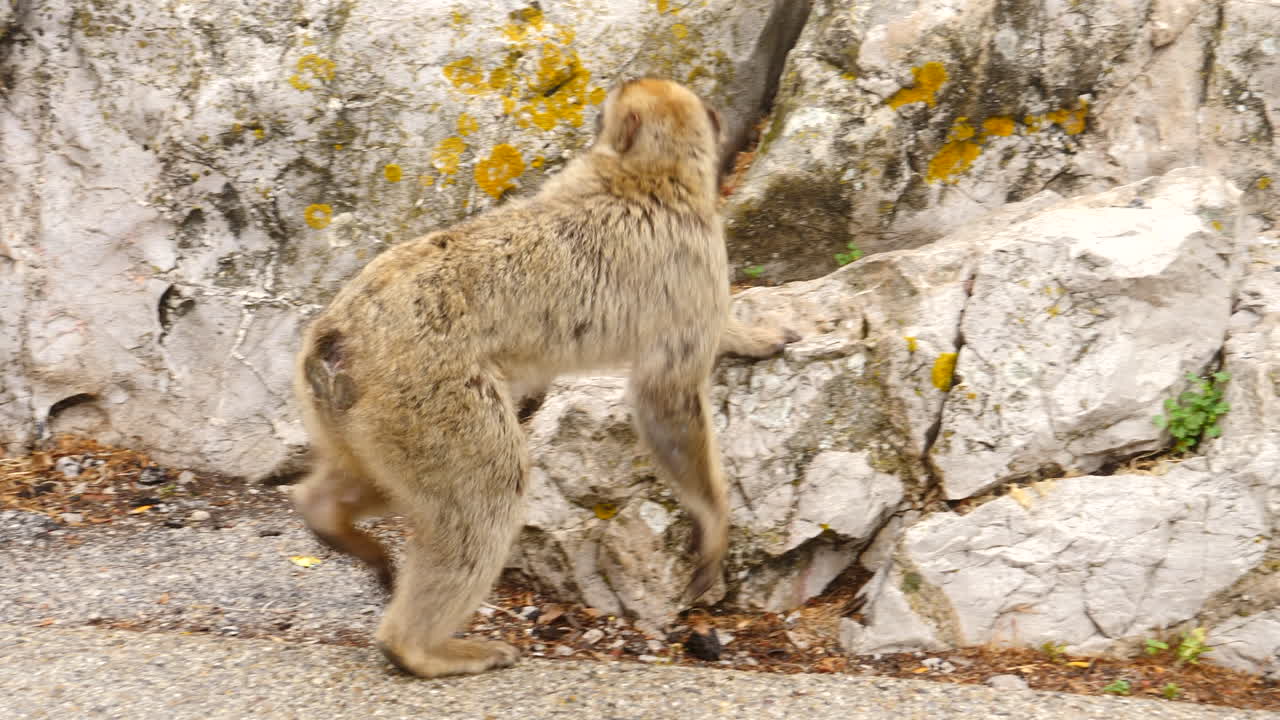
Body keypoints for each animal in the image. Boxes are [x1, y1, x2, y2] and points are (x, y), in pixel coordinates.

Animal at [291, 77, 797, 678]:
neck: (644, 173)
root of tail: (333, 339)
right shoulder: (694, 258)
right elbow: (664, 394)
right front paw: (715, 526)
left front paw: (749, 335)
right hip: (424, 397)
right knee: (488, 486)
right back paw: (419, 649)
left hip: (358, 417)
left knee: (373, 479)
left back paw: (326, 516)